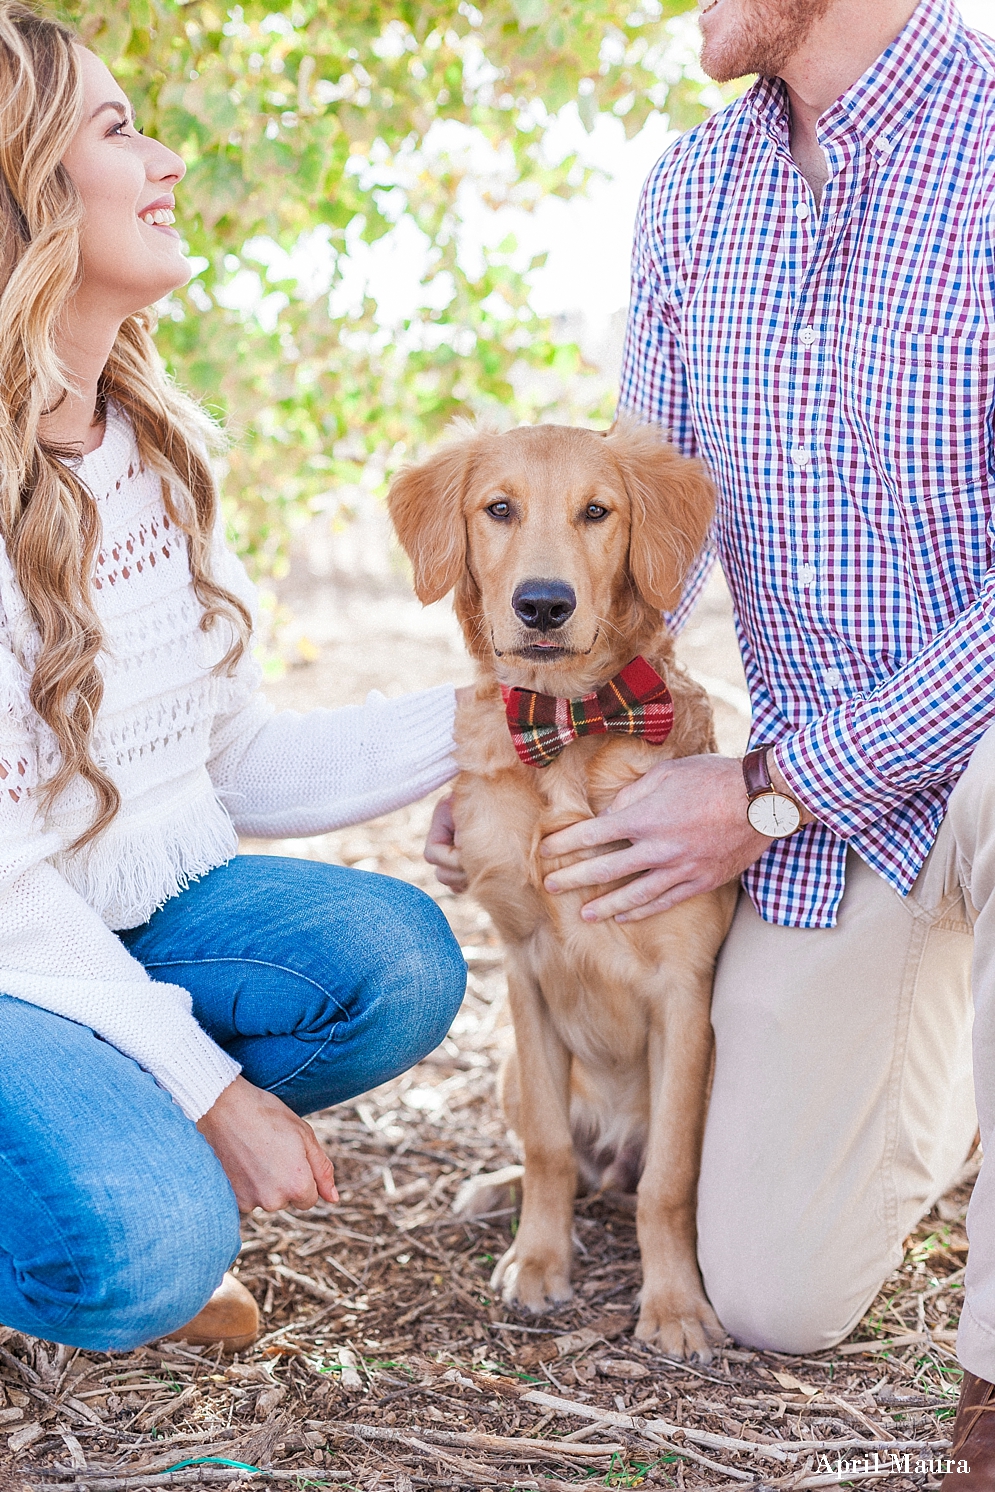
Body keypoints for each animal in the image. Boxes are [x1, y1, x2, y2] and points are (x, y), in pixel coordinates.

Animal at [387, 420, 739, 1366]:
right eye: (498, 509)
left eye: (597, 512)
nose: (542, 605)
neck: (567, 729)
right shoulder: (523, 968)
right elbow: (547, 1145)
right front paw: (539, 1262)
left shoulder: (684, 993)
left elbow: (671, 1182)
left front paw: (675, 1306)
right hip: (511, 1061)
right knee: (557, 1155)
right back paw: (492, 1189)